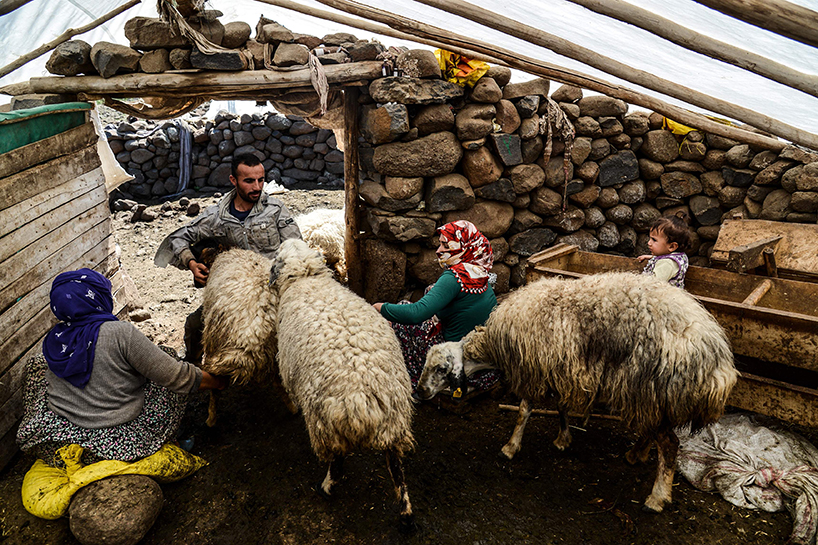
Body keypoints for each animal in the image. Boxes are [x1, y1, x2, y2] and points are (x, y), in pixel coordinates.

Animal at [200, 249, 294, 426]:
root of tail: (250, 340)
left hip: (213, 344)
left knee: (213, 388)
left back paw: (210, 419)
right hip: (274, 354)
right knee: (279, 382)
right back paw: (293, 407)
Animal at [269, 238, 416, 531]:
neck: (307, 278)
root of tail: (365, 398)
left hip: (324, 424)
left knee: (336, 463)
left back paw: (325, 488)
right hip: (395, 422)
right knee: (397, 469)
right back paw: (405, 513)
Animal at [417, 272, 738, 513]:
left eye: (440, 369)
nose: (420, 391)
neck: (495, 344)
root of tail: (716, 354)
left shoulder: (534, 368)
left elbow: (524, 411)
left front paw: (510, 447)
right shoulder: (560, 370)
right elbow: (561, 407)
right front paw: (563, 439)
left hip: (652, 388)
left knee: (670, 444)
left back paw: (657, 497)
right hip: (650, 396)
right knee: (654, 431)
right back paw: (636, 453)